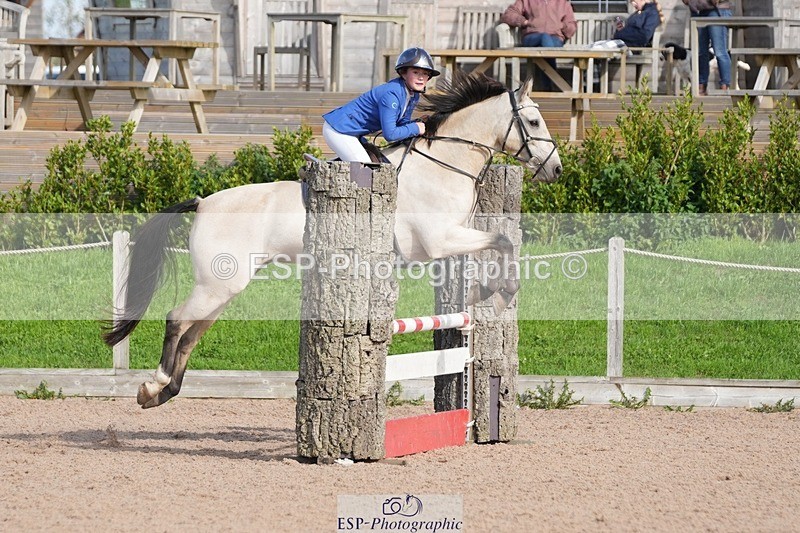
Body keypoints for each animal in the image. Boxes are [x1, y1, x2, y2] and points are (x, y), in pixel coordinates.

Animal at [103, 71, 562, 409]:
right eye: (533, 122)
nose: (556, 169)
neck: (444, 163)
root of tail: (203, 202)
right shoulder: (438, 241)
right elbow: (502, 240)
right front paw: (499, 292)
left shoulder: (453, 239)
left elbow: (500, 243)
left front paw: (491, 290)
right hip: (218, 284)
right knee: (176, 320)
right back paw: (155, 384)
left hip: (224, 286)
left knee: (192, 332)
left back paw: (161, 392)